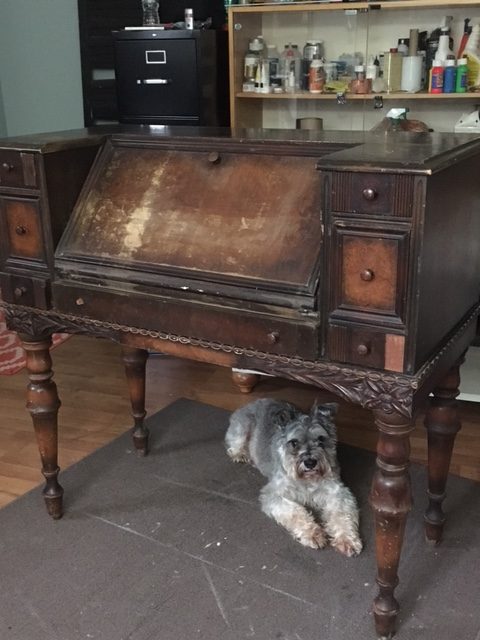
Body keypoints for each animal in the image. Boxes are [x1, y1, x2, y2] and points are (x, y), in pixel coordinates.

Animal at [227, 398, 362, 556]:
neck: (307, 480)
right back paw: (241, 454)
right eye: (294, 442)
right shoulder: (274, 494)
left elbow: (341, 514)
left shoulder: (337, 492)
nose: (310, 462)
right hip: (242, 428)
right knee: (234, 444)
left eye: (321, 439)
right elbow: (295, 511)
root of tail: (254, 401)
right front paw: (313, 534)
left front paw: (347, 539)